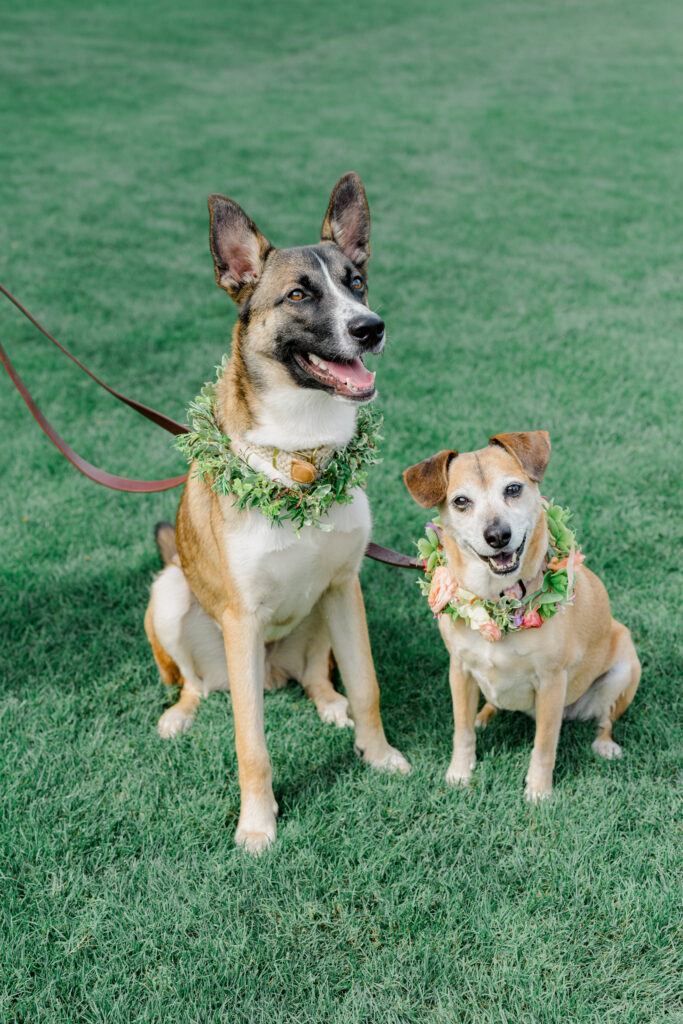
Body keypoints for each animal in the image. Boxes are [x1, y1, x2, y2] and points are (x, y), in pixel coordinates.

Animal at [144, 174, 409, 847]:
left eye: (356, 281)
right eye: (298, 294)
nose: (371, 327)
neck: (302, 462)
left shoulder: (344, 584)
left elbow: (367, 686)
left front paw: (380, 755)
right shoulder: (241, 620)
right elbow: (251, 743)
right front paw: (258, 825)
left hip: (318, 616)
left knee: (319, 677)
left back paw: (330, 705)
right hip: (171, 595)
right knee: (193, 684)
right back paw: (178, 716)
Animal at [403, 432, 638, 798]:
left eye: (513, 489)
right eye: (461, 501)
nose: (498, 536)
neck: (498, 599)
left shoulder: (553, 681)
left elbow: (544, 744)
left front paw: (538, 791)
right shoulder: (459, 669)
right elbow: (461, 729)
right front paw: (460, 772)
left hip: (625, 667)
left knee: (606, 719)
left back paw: (604, 744)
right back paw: (484, 715)